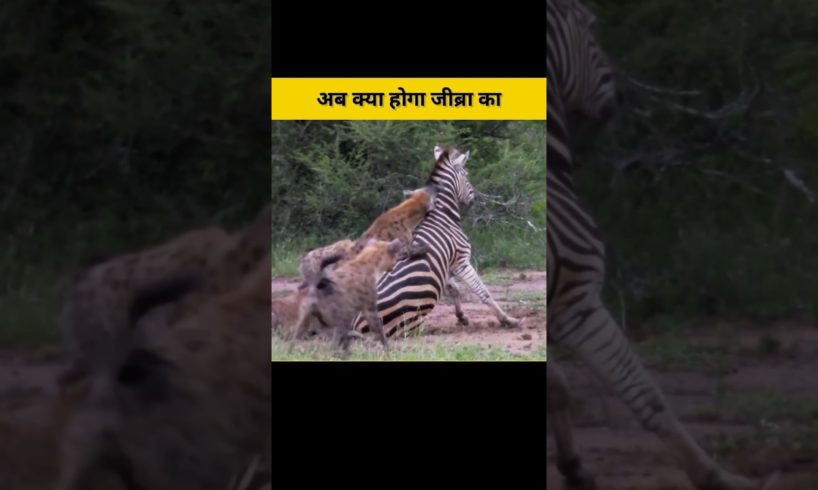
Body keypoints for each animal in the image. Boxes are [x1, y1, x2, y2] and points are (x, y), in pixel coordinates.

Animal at [353, 145, 521, 338]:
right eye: (467, 175)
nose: (473, 199)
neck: (443, 215)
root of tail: (356, 324)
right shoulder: (462, 261)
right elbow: (483, 292)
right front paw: (507, 320)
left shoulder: (447, 265)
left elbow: (454, 289)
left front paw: (462, 317)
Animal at [546, 1, 773, 489]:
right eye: (592, 29)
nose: (618, 101)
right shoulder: (578, 302)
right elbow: (646, 396)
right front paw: (716, 476)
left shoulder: (554, 308)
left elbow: (558, 386)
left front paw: (575, 468)